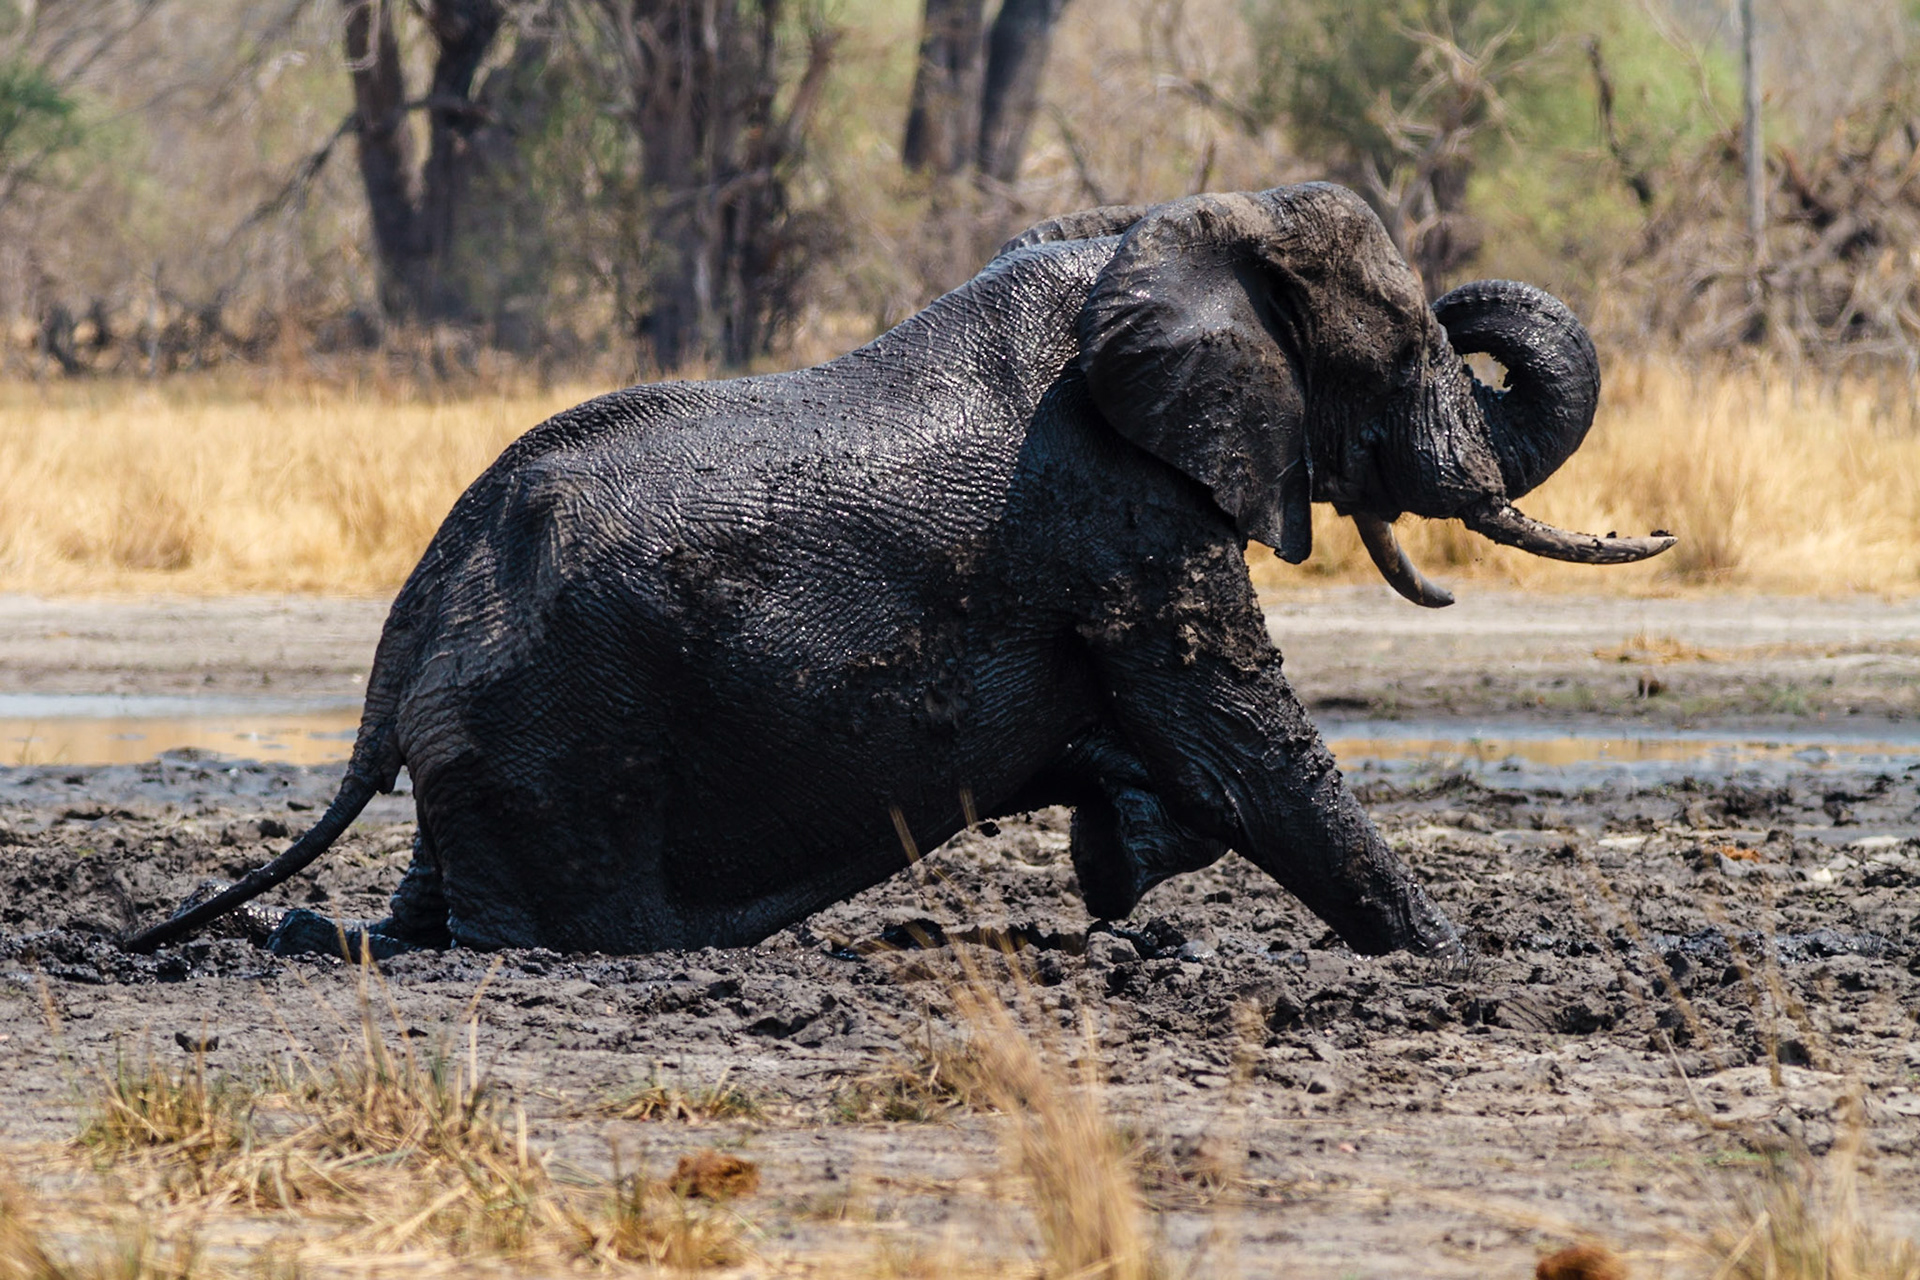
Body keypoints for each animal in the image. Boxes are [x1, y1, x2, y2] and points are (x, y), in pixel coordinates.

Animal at [125, 183, 1673, 961]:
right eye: (1413, 345)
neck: (1149, 241)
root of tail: (411, 615)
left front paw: (1118, 860)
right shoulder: (1115, 507)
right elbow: (1241, 739)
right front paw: (1454, 960)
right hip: (552, 742)